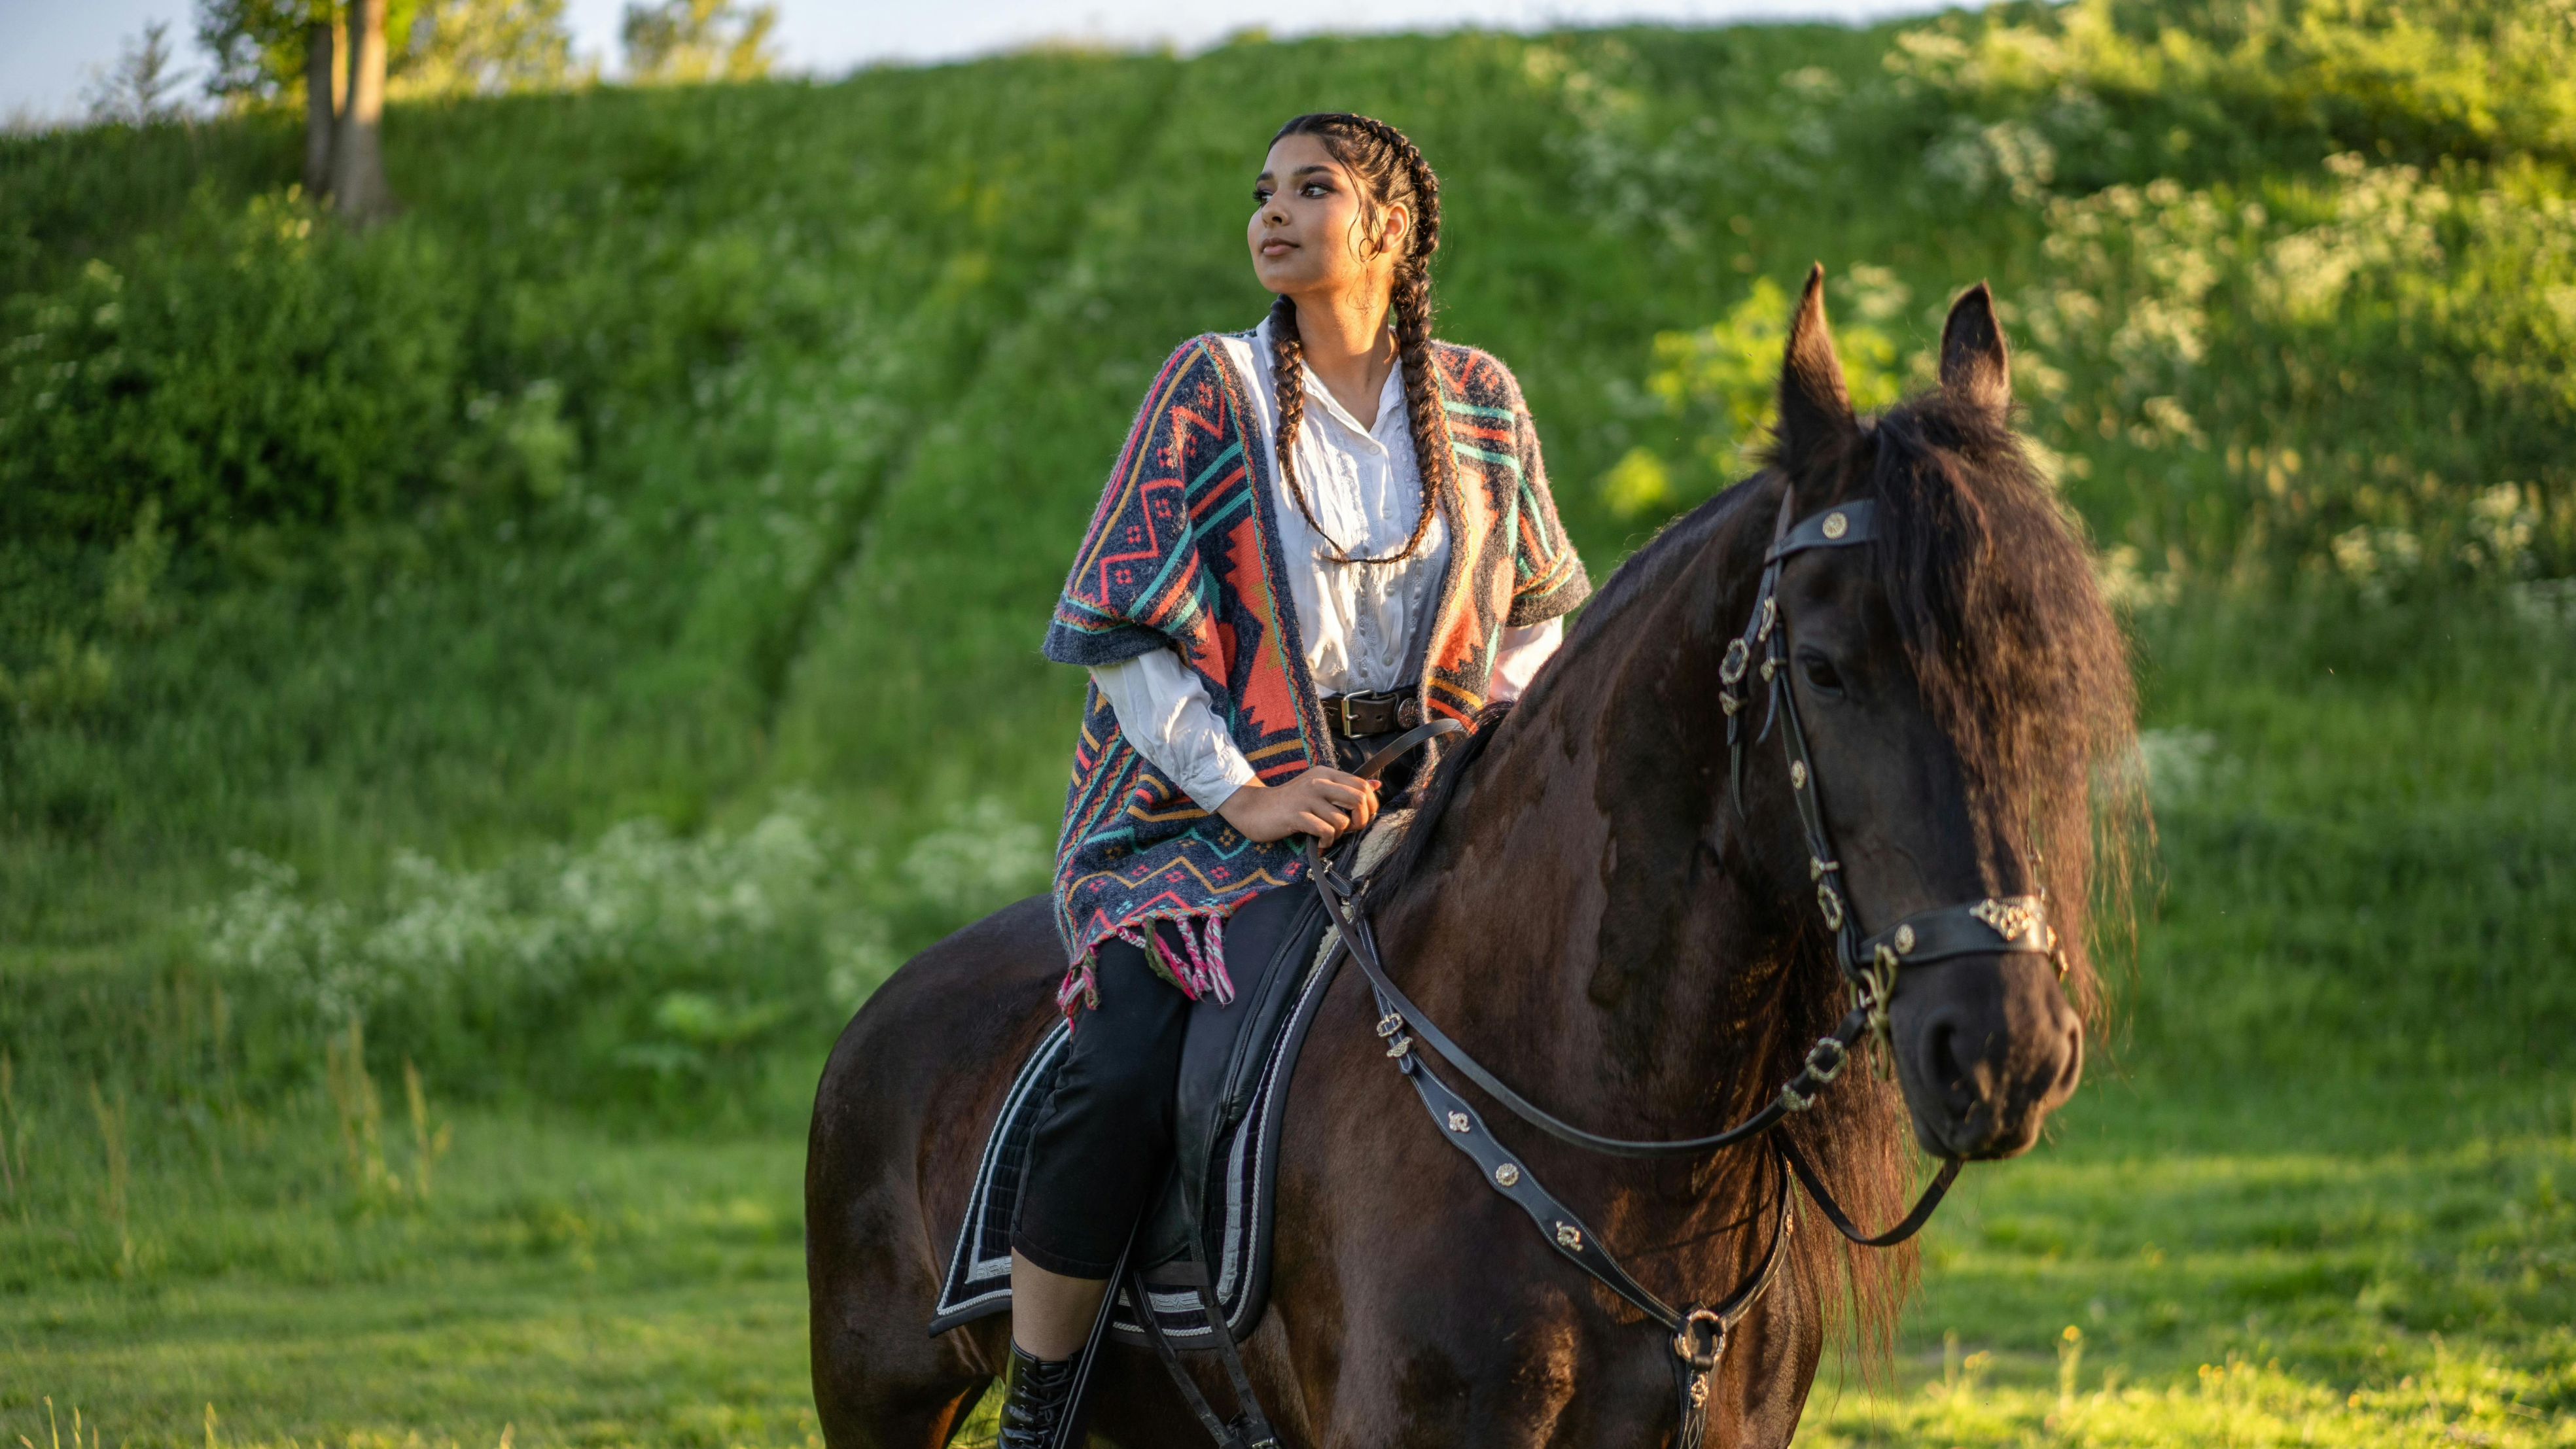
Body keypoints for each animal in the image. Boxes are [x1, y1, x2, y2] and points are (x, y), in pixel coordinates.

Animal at [798, 266, 2132, 1441]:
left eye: (2045, 671)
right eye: (1823, 668)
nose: (2005, 1049)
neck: (1613, 1144)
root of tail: (885, 1004)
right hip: (881, 1397)